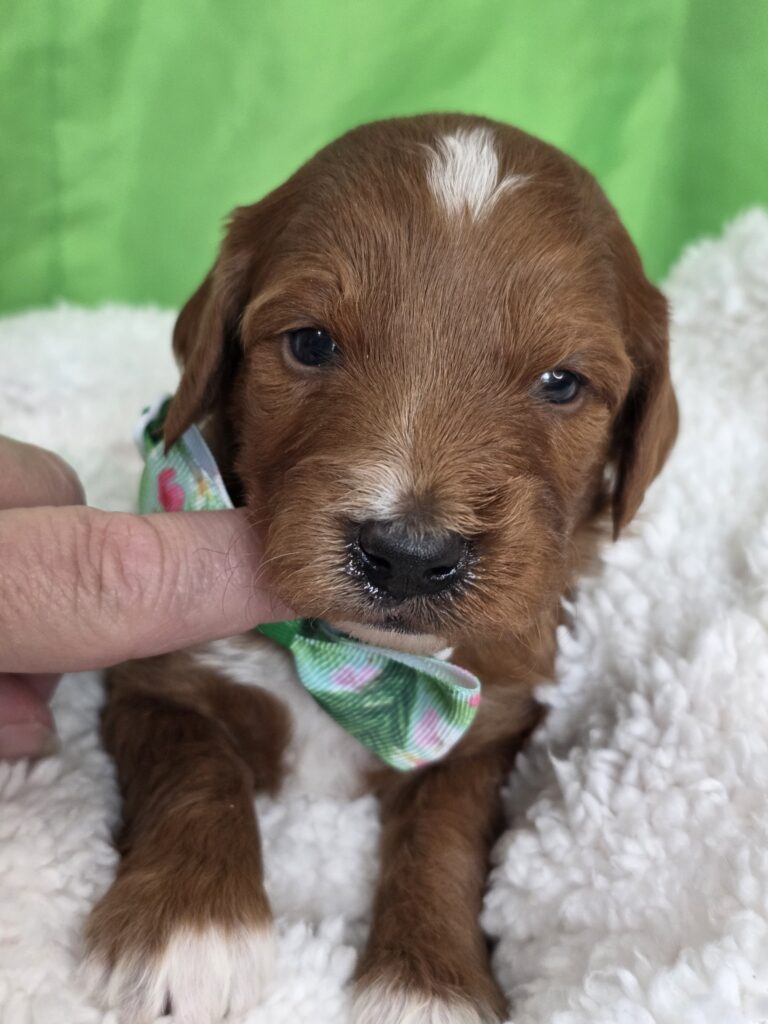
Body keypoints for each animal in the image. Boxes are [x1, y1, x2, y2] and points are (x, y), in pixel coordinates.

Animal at [82, 113, 678, 1024]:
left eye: (562, 382)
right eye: (310, 342)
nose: (409, 555)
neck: (355, 659)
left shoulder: (491, 722)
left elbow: (445, 836)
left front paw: (427, 985)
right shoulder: (156, 671)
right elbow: (193, 764)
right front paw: (188, 929)